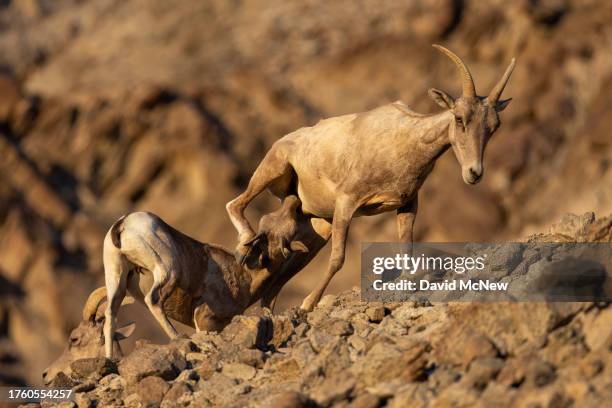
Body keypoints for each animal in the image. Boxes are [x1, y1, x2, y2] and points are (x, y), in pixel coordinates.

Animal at [227, 44, 512, 310]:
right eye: (459, 118)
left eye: (494, 126)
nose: (474, 173)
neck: (406, 139)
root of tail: (287, 139)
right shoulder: (346, 203)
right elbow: (338, 259)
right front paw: (308, 304)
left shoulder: (407, 205)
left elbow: (406, 252)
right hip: (272, 170)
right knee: (235, 204)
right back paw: (243, 247)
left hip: (317, 226)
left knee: (280, 275)